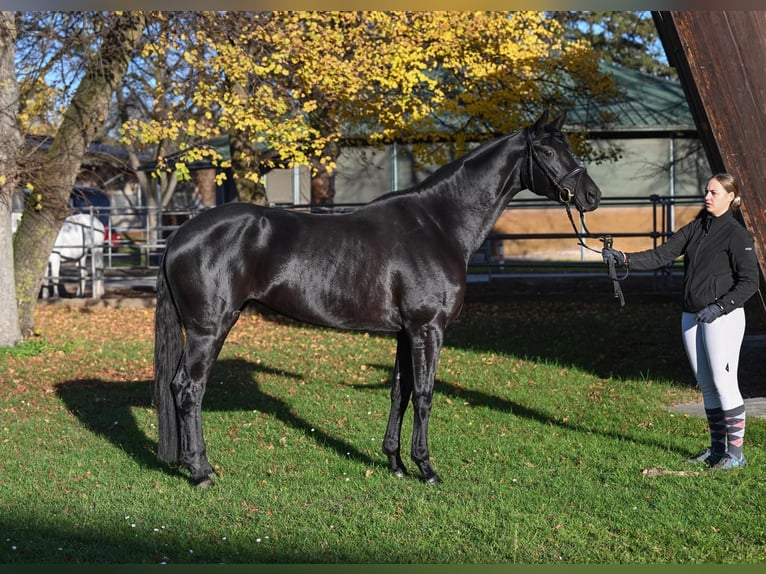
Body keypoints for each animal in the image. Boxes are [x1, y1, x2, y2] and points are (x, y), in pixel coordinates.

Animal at [154, 110, 603, 487]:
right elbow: (424, 395)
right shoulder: (428, 329)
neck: (439, 224)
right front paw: (426, 469)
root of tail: (180, 234)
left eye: (568, 146)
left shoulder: (406, 332)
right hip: (209, 330)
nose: (592, 196)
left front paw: (396, 464)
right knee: (189, 389)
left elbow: (399, 393)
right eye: (547, 151)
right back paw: (201, 472)